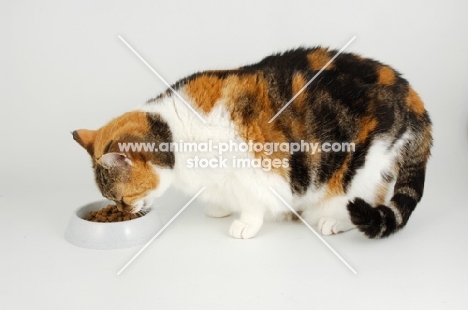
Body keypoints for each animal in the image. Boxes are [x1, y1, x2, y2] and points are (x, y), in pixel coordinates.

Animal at [71, 46, 434, 240]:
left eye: (122, 197)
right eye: (112, 201)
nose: (124, 212)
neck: (175, 132)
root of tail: (411, 94)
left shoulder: (259, 166)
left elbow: (253, 198)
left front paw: (245, 223)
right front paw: (220, 207)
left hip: (363, 162)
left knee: (362, 196)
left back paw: (333, 220)